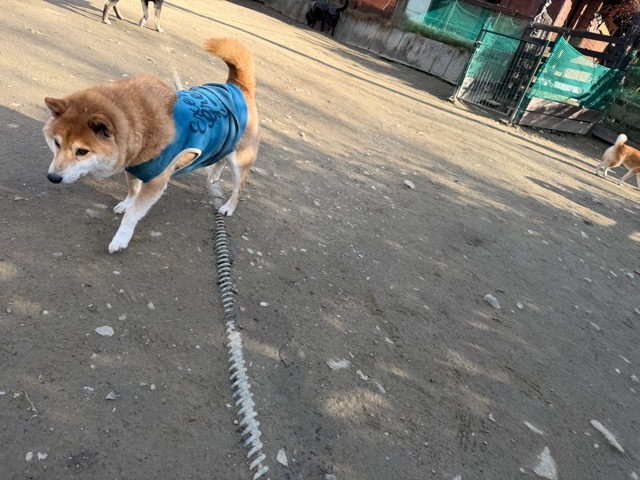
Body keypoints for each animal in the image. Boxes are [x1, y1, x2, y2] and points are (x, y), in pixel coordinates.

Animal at [43, 38, 260, 253]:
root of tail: (237, 86)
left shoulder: (156, 181)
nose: (53, 178)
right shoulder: (133, 166)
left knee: (239, 188)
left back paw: (228, 207)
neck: (140, 126)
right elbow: (132, 190)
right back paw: (214, 176)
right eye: (57, 143)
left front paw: (121, 238)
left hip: (240, 161)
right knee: (221, 158)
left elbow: (133, 214)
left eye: (82, 151)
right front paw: (127, 203)